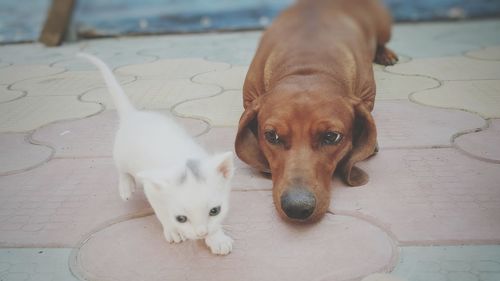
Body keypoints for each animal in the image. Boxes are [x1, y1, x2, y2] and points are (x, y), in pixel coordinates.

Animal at [78, 52, 234, 254]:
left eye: (215, 211)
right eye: (181, 218)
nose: (201, 233)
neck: (183, 162)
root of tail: (133, 115)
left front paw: (217, 238)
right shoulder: (151, 189)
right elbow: (162, 212)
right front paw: (173, 230)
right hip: (121, 155)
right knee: (122, 170)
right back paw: (126, 187)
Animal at [235, 0, 398, 222]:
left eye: (331, 137)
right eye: (271, 136)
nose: (297, 207)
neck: (308, 66)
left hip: (384, 27)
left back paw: (385, 53)